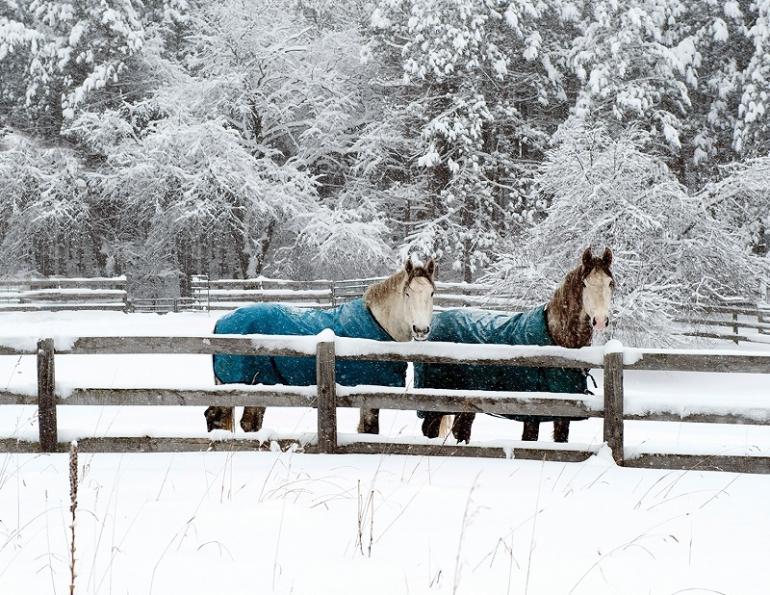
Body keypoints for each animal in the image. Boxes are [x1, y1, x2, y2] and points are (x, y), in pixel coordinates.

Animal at [205, 257, 436, 433]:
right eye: (407, 293)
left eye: (432, 293)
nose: (421, 330)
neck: (377, 323)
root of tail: (221, 322)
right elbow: (370, 430)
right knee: (219, 418)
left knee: (246, 422)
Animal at [416, 247, 614, 444]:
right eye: (585, 284)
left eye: (611, 283)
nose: (601, 321)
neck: (557, 341)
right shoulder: (532, 414)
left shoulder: (565, 413)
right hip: (434, 404)